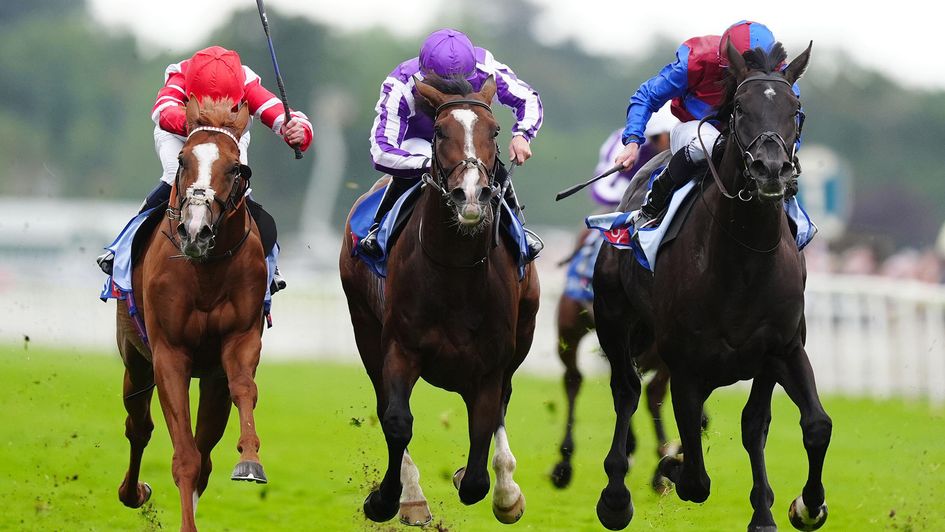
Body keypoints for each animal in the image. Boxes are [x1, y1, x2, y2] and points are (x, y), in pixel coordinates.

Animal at [115, 97, 270, 528]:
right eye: (183, 160)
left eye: (236, 168)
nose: (195, 231)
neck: (206, 269)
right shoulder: (169, 354)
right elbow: (184, 457)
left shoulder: (237, 343)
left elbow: (244, 389)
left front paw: (250, 460)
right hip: (135, 358)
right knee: (138, 426)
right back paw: (132, 492)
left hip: (210, 380)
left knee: (204, 452)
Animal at [342, 74, 540, 524]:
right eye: (438, 131)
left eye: (495, 131)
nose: (471, 195)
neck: (456, 271)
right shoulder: (400, 347)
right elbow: (396, 420)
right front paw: (389, 499)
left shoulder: (492, 362)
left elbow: (480, 459)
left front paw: (497, 488)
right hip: (365, 329)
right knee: (383, 400)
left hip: (523, 334)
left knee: (501, 404)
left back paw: (506, 488)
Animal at [592, 42, 828, 532]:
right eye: (739, 107)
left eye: (795, 110)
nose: (771, 169)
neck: (743, 261)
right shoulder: (685, 363)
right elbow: (696, 481)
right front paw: (672, 466)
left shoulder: (782, 348)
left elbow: (802, 425)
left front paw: (801, 505)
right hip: (613, 317)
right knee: (626, 390)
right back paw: (616, 497)